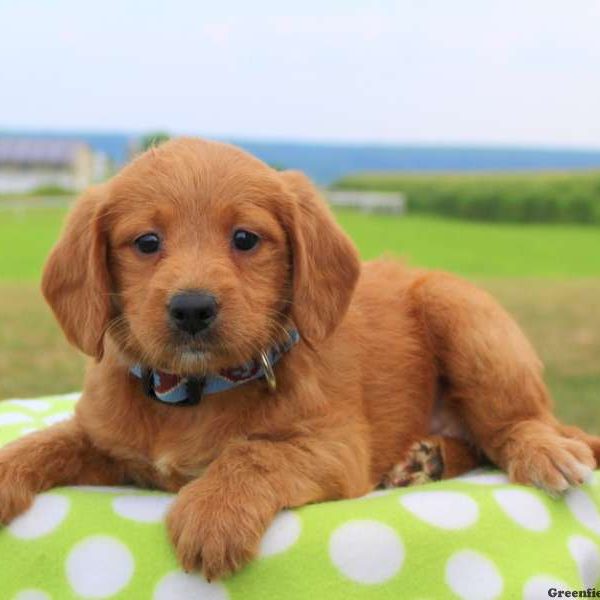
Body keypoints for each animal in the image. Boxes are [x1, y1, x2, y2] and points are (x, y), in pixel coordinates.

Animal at [1, 138, 600, 580]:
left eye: (245, 238)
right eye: (146, 242)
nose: (192, 308)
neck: (194, 391)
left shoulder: (338, 446)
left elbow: (258, 453)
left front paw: (214, 510)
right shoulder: (108, 445)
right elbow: (48, 440)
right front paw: (10, 468)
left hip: (463, 315)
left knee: (514, 426)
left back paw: (540, 451)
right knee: (477, 442)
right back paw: (425, 459)